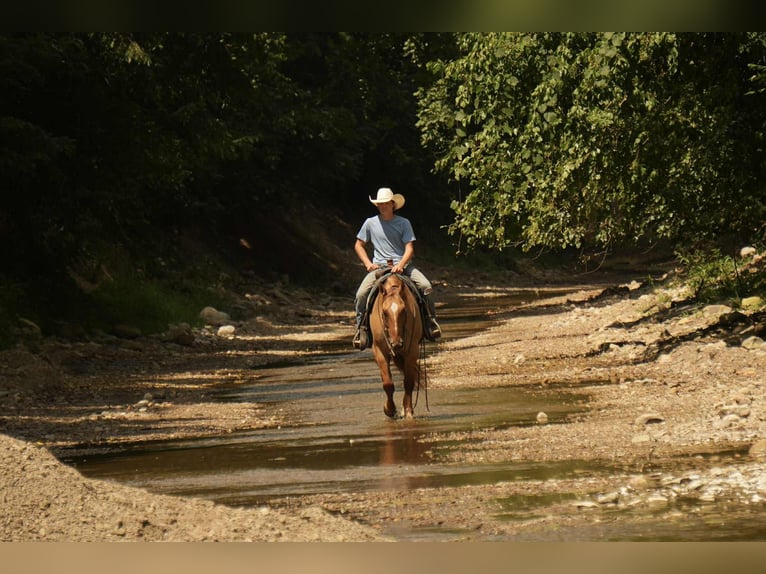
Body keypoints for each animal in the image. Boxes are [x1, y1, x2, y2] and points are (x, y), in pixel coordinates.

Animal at [369, 272, 424, 419]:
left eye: (404, 310)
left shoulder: (412, 351)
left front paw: (408, 411)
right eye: (384, 312)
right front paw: (389, 410)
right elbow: (388, 384)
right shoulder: (380, 351)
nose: (396, 343)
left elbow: (408, 382)